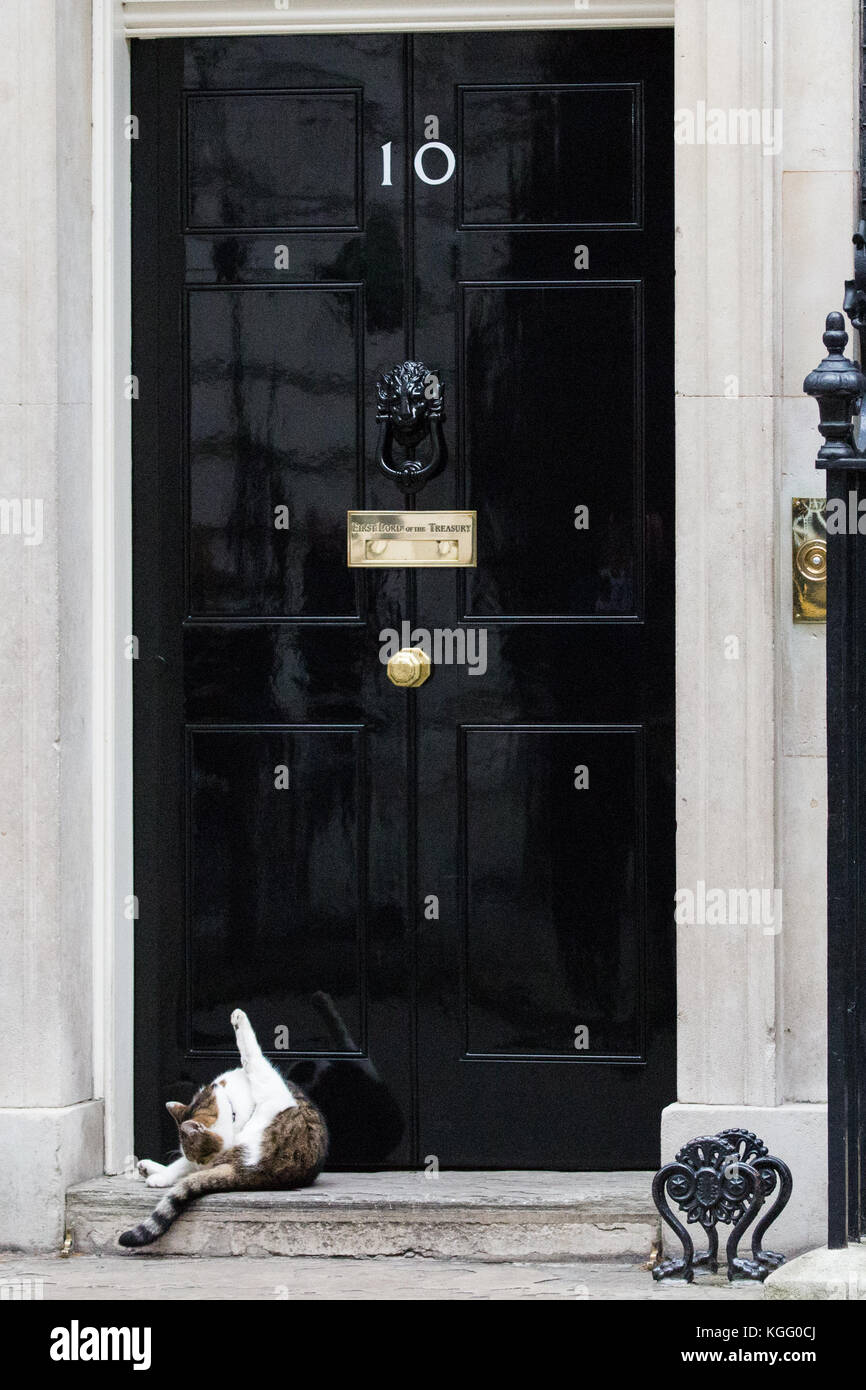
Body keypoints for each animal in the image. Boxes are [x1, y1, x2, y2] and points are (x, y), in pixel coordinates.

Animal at [118, 1006, 328, 1245]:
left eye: (202, 1156)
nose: (202, 1164)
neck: (229, 1100)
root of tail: (250, 1171)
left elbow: (252, 1056)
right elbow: (252, 1056)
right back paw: (151, 1170)